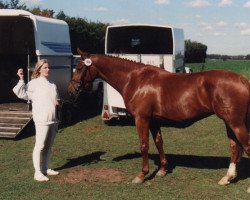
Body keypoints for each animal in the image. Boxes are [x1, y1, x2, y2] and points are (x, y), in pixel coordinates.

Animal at [69, 48, 250, 191]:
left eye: (79, 67)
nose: (71, 89)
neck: (135, 79)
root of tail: (243, 80)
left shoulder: (141, 119)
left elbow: (144, 145)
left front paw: (141, 176)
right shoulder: (154, 121)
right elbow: (158, 142)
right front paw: (162, 170)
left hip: (236, 124)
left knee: (245, 146)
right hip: (229, 123)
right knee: (234, 147)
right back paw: (227, 178)